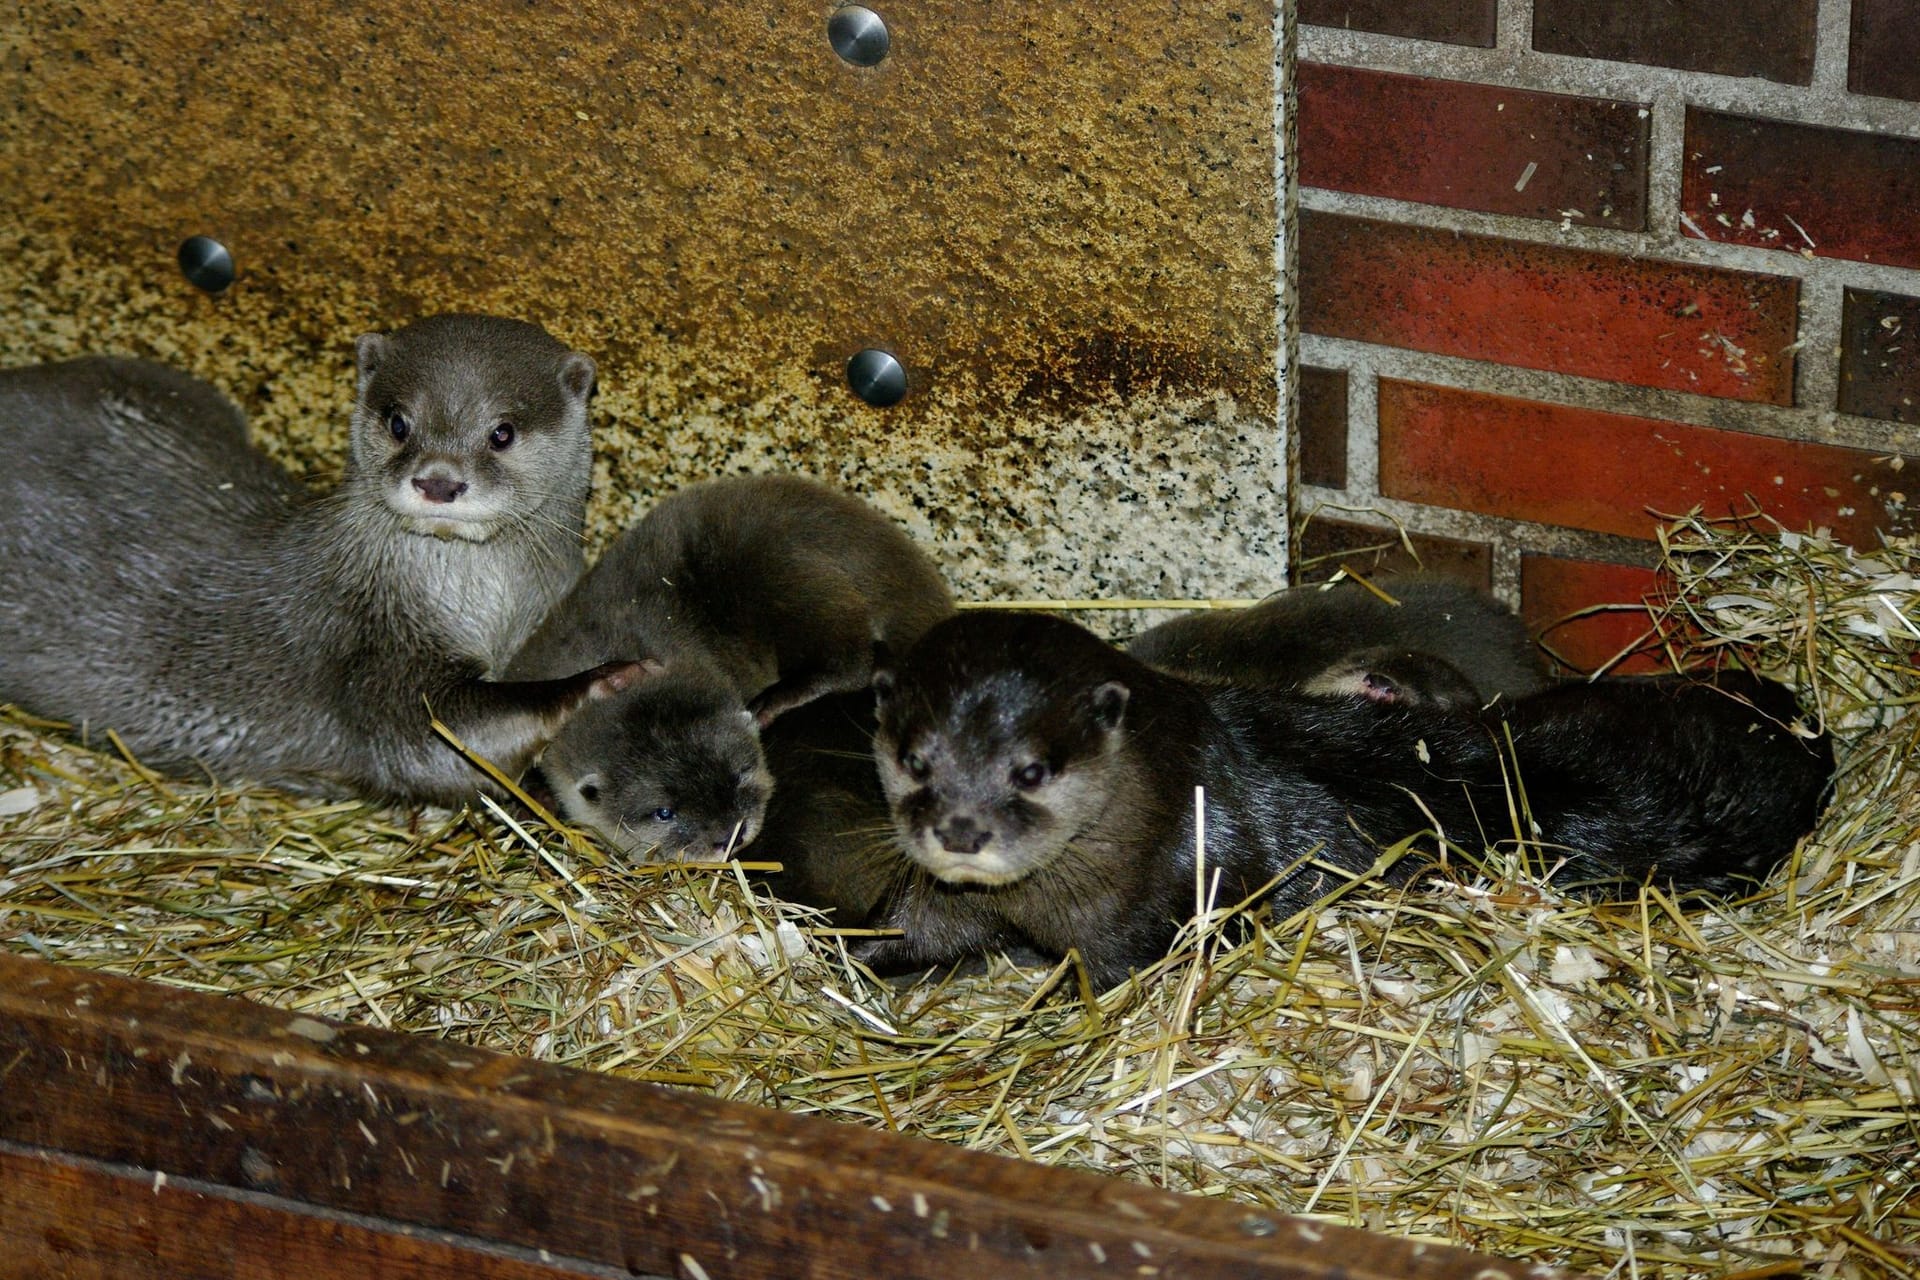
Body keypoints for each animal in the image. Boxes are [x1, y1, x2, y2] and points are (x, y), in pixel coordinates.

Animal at [0, 318, 629, 802]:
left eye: (502, 432)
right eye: (399, 422)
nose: (439, 482)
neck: (491, 609)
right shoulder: (371, 642)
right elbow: (432, 740)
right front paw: (600, 681)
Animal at [506, 477, 956, 859]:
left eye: (740, 772)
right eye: (664, 812)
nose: (730, 835)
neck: (606, 643)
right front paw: (536, 797)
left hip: (788, 574)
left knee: (850, 658)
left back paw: (772, 700)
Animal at [856, 614, 1827, 990]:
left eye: (1031, 770)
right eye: (916, 758)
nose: (961, 829)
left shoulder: (1152, 909)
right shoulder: (943, 904)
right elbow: (901, 934)